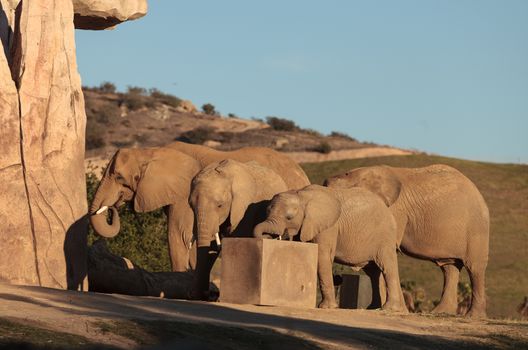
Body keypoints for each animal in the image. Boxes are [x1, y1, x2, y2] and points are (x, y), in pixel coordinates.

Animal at [88, 141, 308, 272]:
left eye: (118, 177)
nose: (113, 207)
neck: (152, 151)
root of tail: (302, 172)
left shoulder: (183, 194)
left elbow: (181, 236)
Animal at [189, 159, 288, 298]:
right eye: (191, 206)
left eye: (220, 205)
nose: (208, 293)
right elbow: (211, 247)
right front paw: (197, 296)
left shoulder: (245, 206)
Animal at [254, 183, 406, 312]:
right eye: (266, 212)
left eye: (289, 217)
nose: (275, 237)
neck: (302, 195)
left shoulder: (328, 227)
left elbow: (322, 257)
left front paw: (326, 307)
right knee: (373, 272)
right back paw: (372, 308)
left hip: (384, 237)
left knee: (386, 266)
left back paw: (389, 309)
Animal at [324, 164, 488, 318]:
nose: (338, 279)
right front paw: (381, 308)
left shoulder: (394, 211)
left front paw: (394, 310)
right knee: (449, 268)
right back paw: (440, 312)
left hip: (477, 229)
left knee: (474, 268)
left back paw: (473, 316)